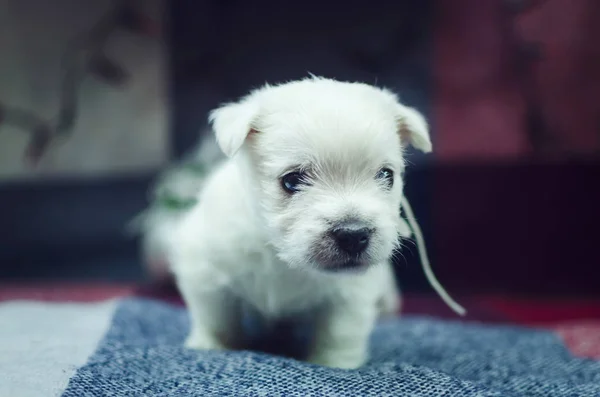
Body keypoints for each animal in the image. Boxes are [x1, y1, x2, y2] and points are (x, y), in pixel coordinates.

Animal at [132, 76, 464, 368]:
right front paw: (211, 346)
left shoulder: (350, 293)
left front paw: (335, 363)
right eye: (291, 180)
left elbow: (340, 331)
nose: (353, 235)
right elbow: (217, 317)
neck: (283, 257)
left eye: (386, 175)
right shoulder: (205, 268)